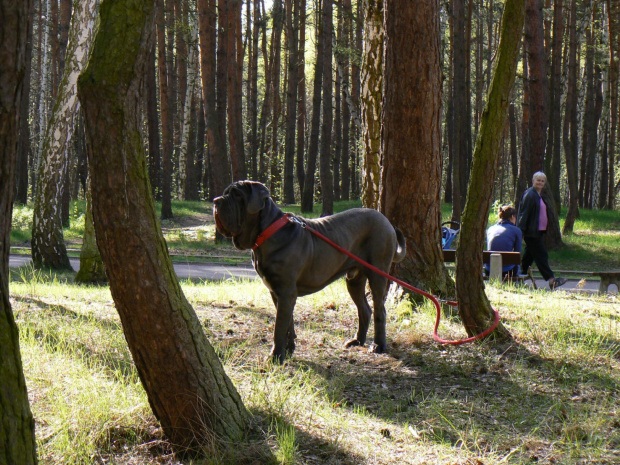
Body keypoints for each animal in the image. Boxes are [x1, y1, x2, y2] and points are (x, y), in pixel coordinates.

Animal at [213, 179, 406, 364]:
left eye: (238, 195)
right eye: (225, 193)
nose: (216, 201)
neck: (267, 232)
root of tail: (385, 220)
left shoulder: (285, 292)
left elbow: (279, 326)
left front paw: (275, 356)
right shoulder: (278, 293)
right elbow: (288, 324)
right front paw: (288, 350)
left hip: (377, 273)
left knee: (380, 309)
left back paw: (378, 345)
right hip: (354, 279)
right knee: (365, 309)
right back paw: (357, 341)